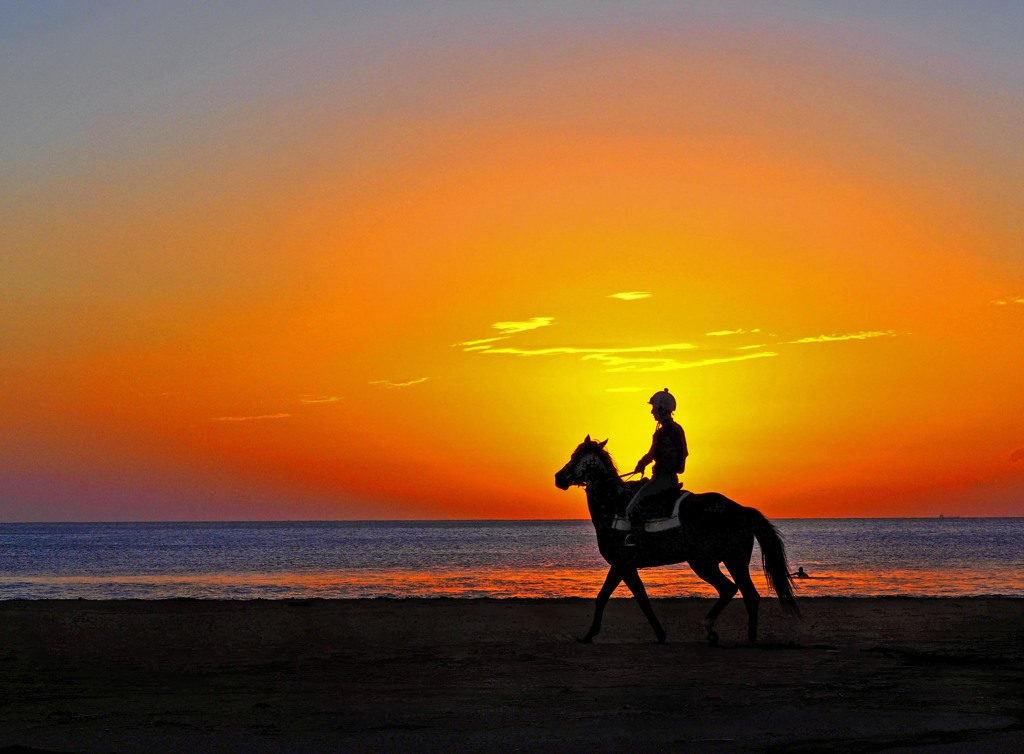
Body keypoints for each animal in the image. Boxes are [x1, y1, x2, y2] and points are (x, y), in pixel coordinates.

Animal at [552, 438, 798, 643]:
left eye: (576, 457)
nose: (558, 477)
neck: (613, 506)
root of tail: (742, 510)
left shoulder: (622, 564)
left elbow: (609, 598)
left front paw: (589, 635)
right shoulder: (626, 567)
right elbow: (635, 599)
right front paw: (659, 635)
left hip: (711, 562)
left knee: (736, 590)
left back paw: (730, 634)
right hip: (728, 561)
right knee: (745, 594)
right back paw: (735, 636)